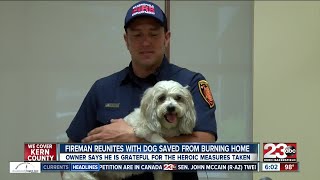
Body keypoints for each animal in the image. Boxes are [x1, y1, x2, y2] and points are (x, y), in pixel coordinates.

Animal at [61, 81, 196, 180]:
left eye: (178, 98)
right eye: (161, 97)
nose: (171, 108)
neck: (165, 127)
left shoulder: (161, 172)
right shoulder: (141, 129)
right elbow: (156, 137)